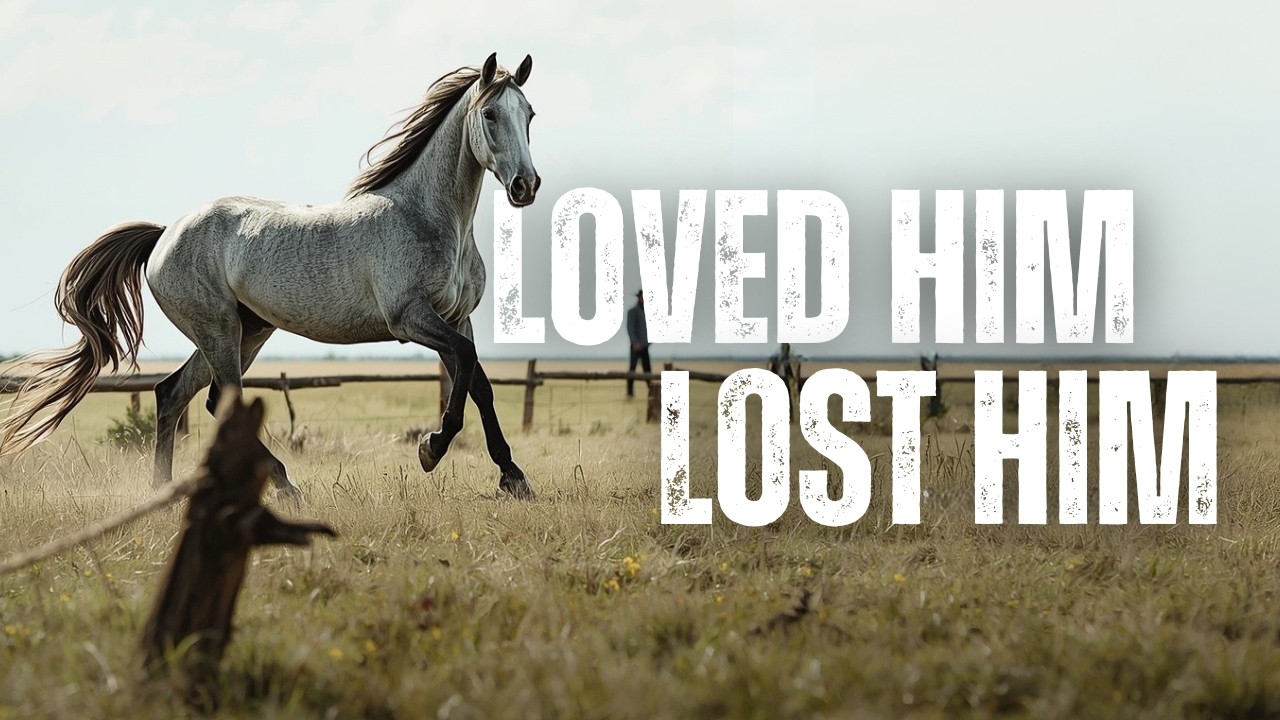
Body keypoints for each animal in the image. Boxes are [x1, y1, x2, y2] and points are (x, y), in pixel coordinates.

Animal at [0, 53, 540, 500]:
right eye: (490, 115)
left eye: (529, 114)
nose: (525, 186)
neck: (427, 216)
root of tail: (165, 234)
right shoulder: (410, 319)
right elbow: (465, 365)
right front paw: (431, 448)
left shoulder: (455, 317)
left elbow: (479, 383)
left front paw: (514, 478)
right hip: (219, 329)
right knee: (220, 399)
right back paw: (282, 484)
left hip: (247, 331)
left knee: (173, 393)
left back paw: (164, 491)